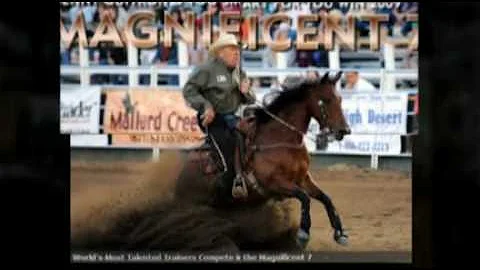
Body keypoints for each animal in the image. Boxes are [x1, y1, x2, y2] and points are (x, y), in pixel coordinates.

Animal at [182, 71, 350, 249]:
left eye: (339, 99)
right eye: (326, 100)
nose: (344, 130)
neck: (281, 139)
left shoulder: (303, 179)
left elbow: (326, 198)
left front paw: (340, 233)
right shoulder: (275, 183)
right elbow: (304, 197)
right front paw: (303, 234)